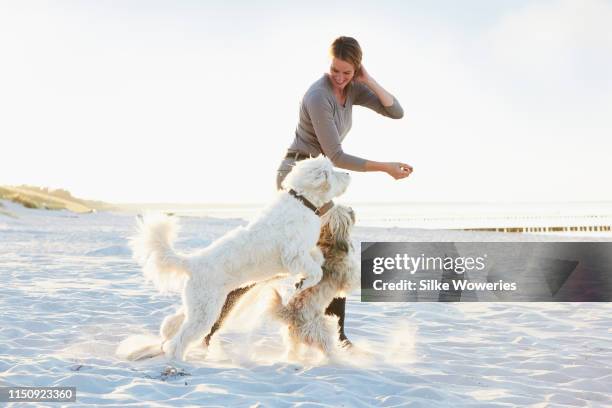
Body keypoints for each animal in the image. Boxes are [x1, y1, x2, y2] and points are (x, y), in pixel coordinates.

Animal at [129, 155, 350, 360]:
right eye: (332, 171)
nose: (348, 173)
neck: (302, 202)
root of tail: (192, 262)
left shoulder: (302, 252)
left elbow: (316, 259)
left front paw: (306, 276)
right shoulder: (293, 254)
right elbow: (315, 272)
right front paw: (302, 285)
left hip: (199, 304)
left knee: (174, 322)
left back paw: (168, 335)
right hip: (205, 311)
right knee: (180, 340)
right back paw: (177, 359)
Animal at [268, 206, 358, 362]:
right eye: (346, 211)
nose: (352, 209)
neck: (329, 242)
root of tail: (290, 314)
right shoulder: (348, 277)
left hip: (295, 338)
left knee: (293, 350)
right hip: (323, 329)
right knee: (328, 348)